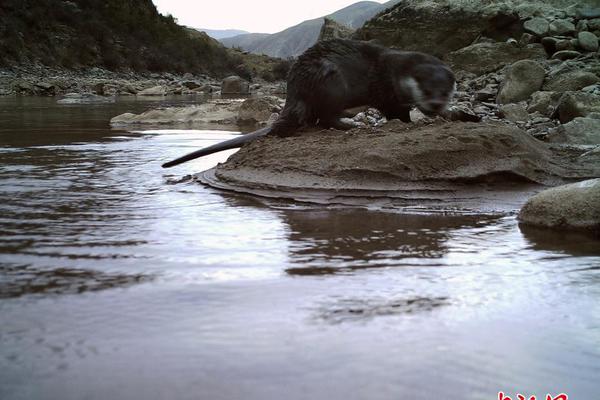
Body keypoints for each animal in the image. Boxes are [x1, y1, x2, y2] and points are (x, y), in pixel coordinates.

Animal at [162, 38, 458, 168]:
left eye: (445, 92)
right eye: (426, 89)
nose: (435, 105)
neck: (398, 72)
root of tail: (296, 90)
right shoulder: (387, 91)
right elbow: (396, 112)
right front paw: (408, 122)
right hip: (332, 81)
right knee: (324, 118)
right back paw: (351, 125)